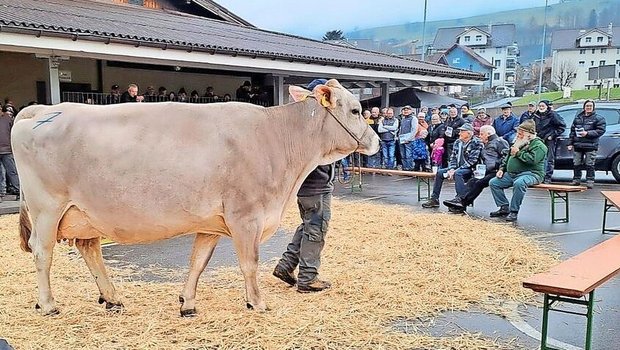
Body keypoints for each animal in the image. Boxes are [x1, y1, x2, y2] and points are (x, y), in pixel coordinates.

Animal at [12, 79, 380, 314]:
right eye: (356, 110)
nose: (376, 141)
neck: (276, 137)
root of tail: (39, 110)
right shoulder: (245, 216)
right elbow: (249, 262)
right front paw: (257, 303)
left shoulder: (211, 223)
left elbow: (198, 262)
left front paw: (187, 303)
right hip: (47, 209)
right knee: (42, 253)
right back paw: (48, 305)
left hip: (84, 214)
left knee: (89, 250)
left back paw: (112, 299)